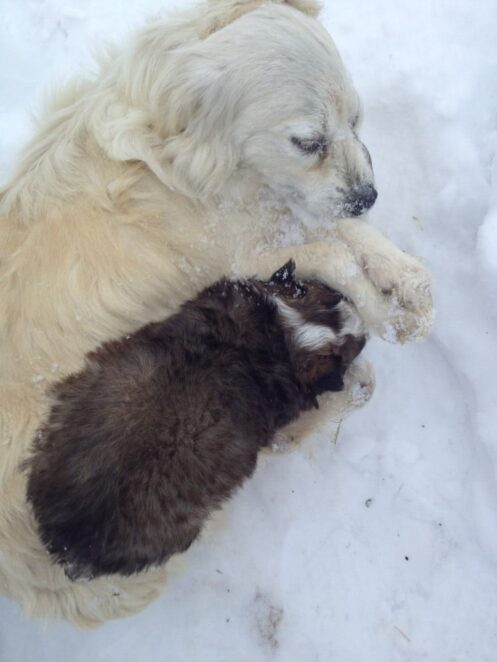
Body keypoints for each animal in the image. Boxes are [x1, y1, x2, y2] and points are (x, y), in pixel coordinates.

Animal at [0, 0, 430, 628]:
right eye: (307, 141)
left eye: (358, 119)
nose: (368, 195)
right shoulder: (243, 253)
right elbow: (336, 251)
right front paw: (378, 307)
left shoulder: (265, 223)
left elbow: (341, 232)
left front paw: (407, 284)